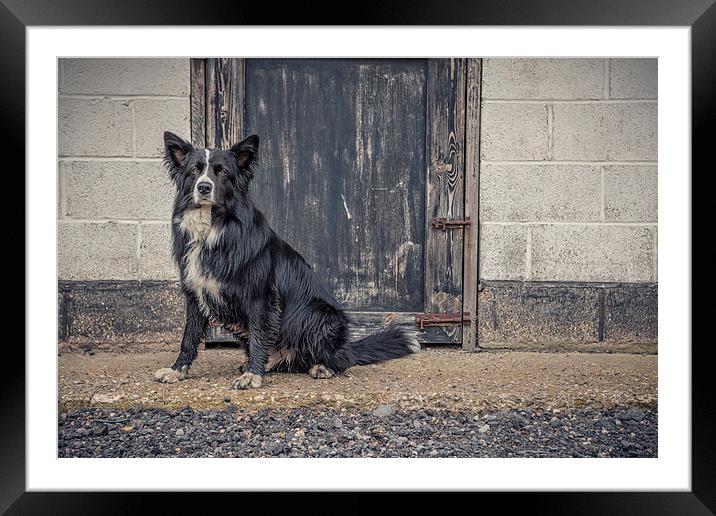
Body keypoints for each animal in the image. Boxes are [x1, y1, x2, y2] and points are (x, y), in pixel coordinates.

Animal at [154, 131, 416, 390]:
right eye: (194, 171)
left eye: (223, 172)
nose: (204, 187)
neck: (214, 230)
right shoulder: (195, 295)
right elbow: (189, 337)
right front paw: (177, 370)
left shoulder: (260, 298)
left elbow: (258, 336)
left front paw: (253, 375)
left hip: (318, 316)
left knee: (343, 358)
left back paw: (322, 366)